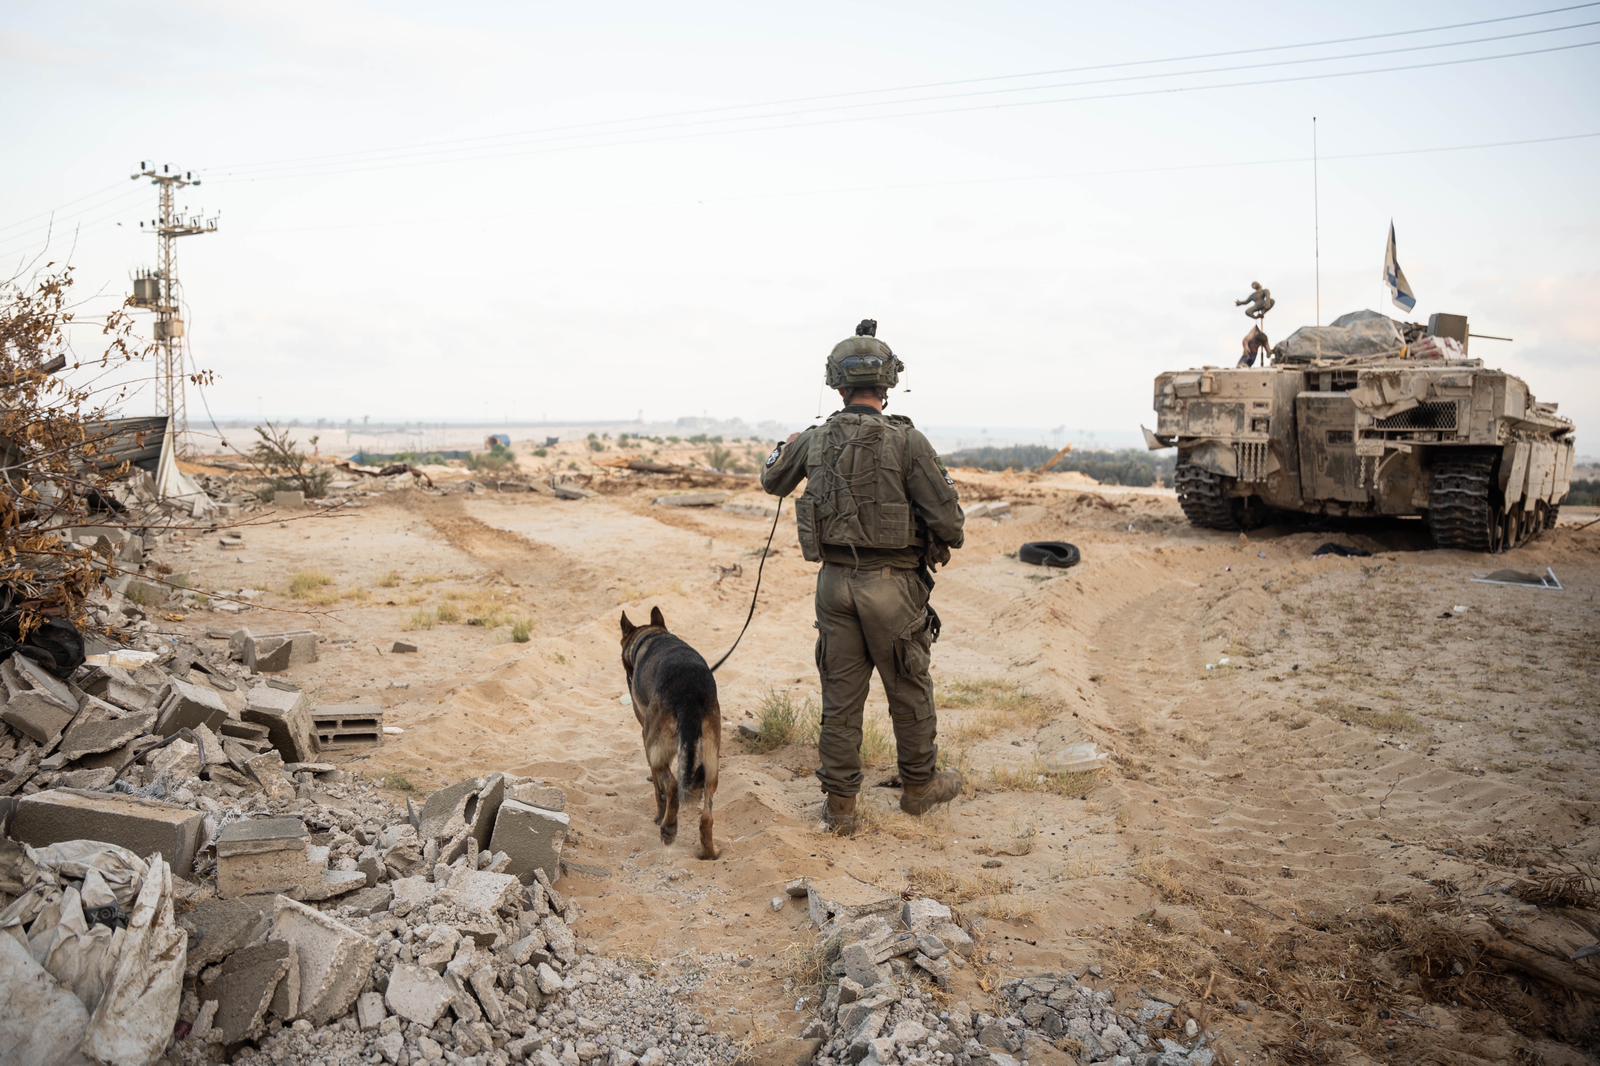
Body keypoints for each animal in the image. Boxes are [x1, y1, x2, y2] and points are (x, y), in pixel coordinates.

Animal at [620, 605, 723, 857]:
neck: (651, 636)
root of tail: (689, 692)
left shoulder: (647, 740)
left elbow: (659, 790)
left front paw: (659, 816)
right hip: (712, 762)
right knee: (707, 816)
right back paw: (708, 852)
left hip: (653, 747)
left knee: (673, 786)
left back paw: (668, 828)